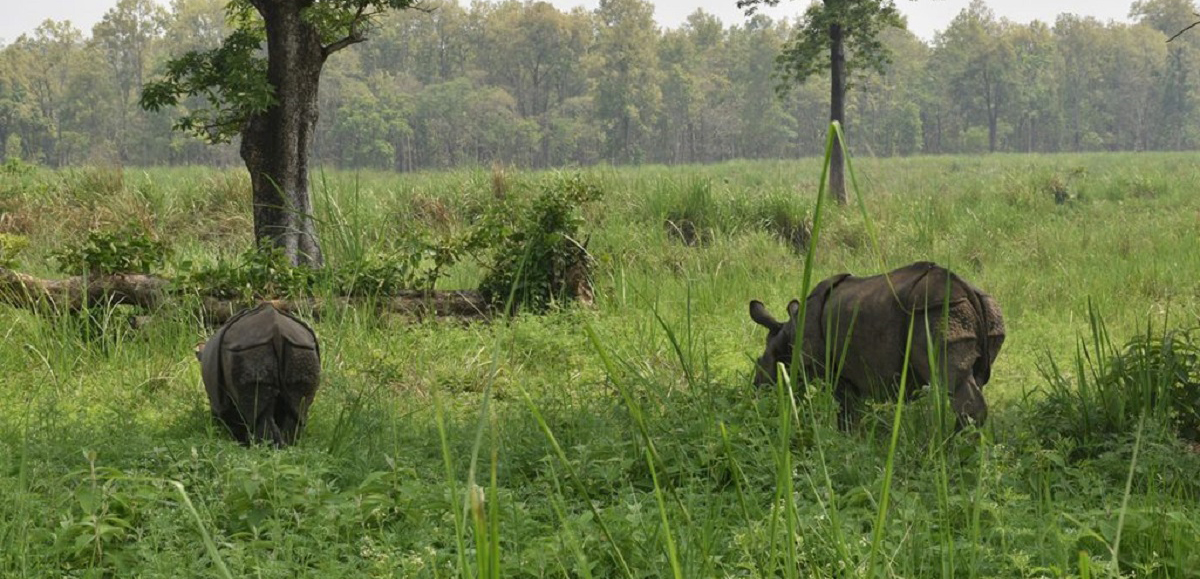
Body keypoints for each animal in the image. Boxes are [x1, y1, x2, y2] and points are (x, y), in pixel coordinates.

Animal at [196, 302, 321, 446]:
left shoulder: (218, 402)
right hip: (302, 348)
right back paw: (288, 445)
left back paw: (261, 446)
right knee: (297, 407)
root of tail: (276, 331)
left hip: (248, 350)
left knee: (257, 412)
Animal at [748, 260, 1003, 427]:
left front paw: (846, 436)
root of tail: (966, 289)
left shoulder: (832, 369)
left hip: (936, 311)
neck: (788, 333)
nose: (756, 389)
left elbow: (845, 408)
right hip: (986, 310)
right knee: (975, 378)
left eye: (762, 363)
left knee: (952, 381)